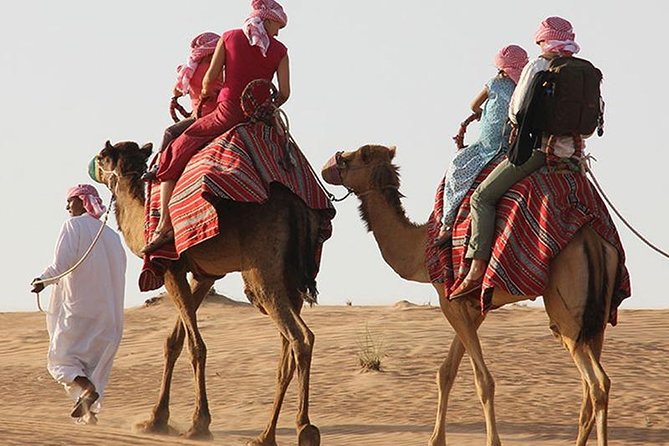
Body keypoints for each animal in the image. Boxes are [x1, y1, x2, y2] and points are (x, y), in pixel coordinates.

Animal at [94, 140, 323, 446]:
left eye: (102, 157)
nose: (93, 168)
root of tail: (295, 208)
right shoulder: (204, 275)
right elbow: (174, 341)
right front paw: (155, 420)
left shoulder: (171, 269)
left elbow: (195, 346)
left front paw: (198, 424)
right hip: (291, 281)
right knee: (285, 354)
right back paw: (265, 436)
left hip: (262, 273)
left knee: (300, 337)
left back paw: (304, 428)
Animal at [322, 144, 620, 446]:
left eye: (349, 159)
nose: (325, 167)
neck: (421, 248)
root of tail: (591, 239)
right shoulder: (473, 306)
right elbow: (446, 372)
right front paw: (435, 439)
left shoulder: (448, 300)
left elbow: (483, 380)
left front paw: (489, 441)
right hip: (595, 315)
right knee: (592, 385)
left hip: (566, 311)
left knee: (596, 382)